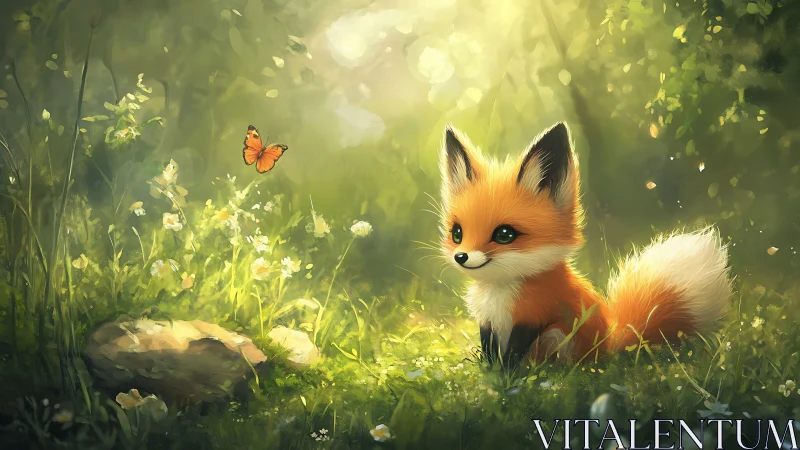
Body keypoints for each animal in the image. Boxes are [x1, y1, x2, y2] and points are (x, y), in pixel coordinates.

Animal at [438, 121, 734, 367]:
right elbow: (490, 353)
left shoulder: (534, 317)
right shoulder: (486, 321)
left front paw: (504, 379)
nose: (461, 256)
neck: (499, 294)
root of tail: (611, 343)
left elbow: (511, 355)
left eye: (504, 234)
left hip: (558, 335)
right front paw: (488, 374)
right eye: (457, 233)